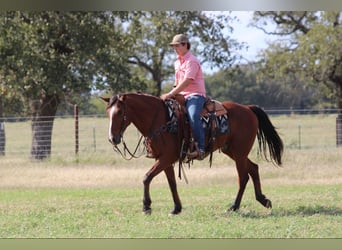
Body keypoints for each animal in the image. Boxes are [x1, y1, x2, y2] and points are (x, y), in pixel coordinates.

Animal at [101, 93, 284, 214]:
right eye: (108, 113)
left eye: (119, 112)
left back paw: (234, 206)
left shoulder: (167, 158)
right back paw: (263, 200)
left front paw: (146, 206)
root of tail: (248, 109)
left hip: (239, 152)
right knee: (253, 168)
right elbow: (172, 183)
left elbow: (146, 177)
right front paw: (176, 208)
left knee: (243, 176)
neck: (161, 120)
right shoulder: (164, 159)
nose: (112, 138)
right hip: (232, 150)